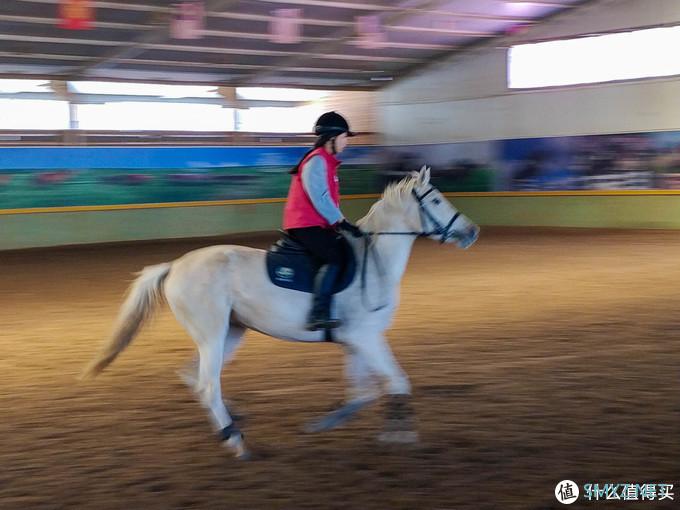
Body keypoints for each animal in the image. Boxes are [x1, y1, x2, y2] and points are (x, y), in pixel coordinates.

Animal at [82, 167, 480, 458]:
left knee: (194, 377)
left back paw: (231, 422)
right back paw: (236, 441)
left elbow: (363, 393)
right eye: (437, 199)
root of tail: (175, 266)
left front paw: (328, 423)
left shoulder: (357, 341)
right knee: (207, 384)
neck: (376, 260)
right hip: (212, 333)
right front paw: (402, 435)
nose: (472, 231)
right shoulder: (365, 337)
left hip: (231, 332)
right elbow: (398, 381)